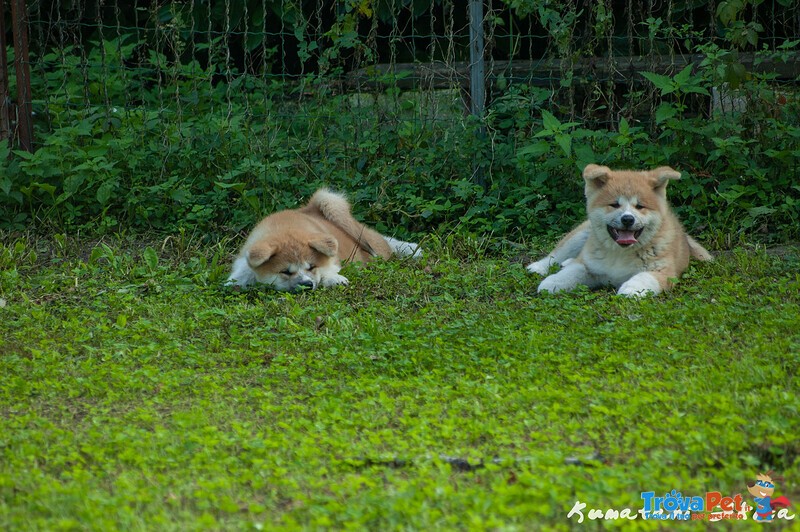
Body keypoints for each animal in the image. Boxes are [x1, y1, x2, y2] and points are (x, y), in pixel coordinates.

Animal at [528, 164, 708, 298]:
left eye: (639, 206)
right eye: (614, 205)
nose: (627, 219)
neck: (620, 254)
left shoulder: (663, 271)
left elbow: (643, 277)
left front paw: (632, 288)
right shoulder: (589, 267)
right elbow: (571, 272)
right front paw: (553, 282)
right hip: (581, 235)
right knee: (557, 254)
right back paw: (538, 267)